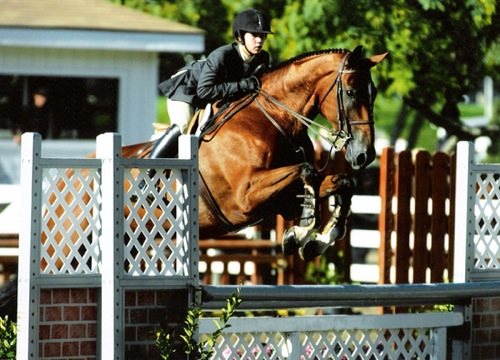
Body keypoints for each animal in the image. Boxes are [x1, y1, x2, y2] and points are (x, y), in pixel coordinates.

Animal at [123, 45, 388, 262]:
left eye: (374, 93)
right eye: (351, 92)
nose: (365, 155)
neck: (274, 119)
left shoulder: (284, 201)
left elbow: (343, 183)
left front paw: (314, 241)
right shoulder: (245, 198)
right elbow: (307, 170)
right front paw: (301, 231)